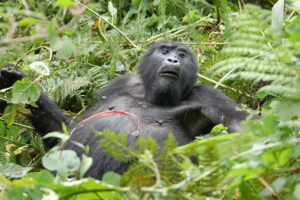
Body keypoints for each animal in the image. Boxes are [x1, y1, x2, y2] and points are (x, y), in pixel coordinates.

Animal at [0, 41, 248, 179]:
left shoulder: (208, 95)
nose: (173, 60)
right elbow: (68, 130)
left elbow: (240, 122)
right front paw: (15, 78)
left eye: (182, 55)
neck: (152, 97)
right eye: (165, 50)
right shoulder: (121, 83)